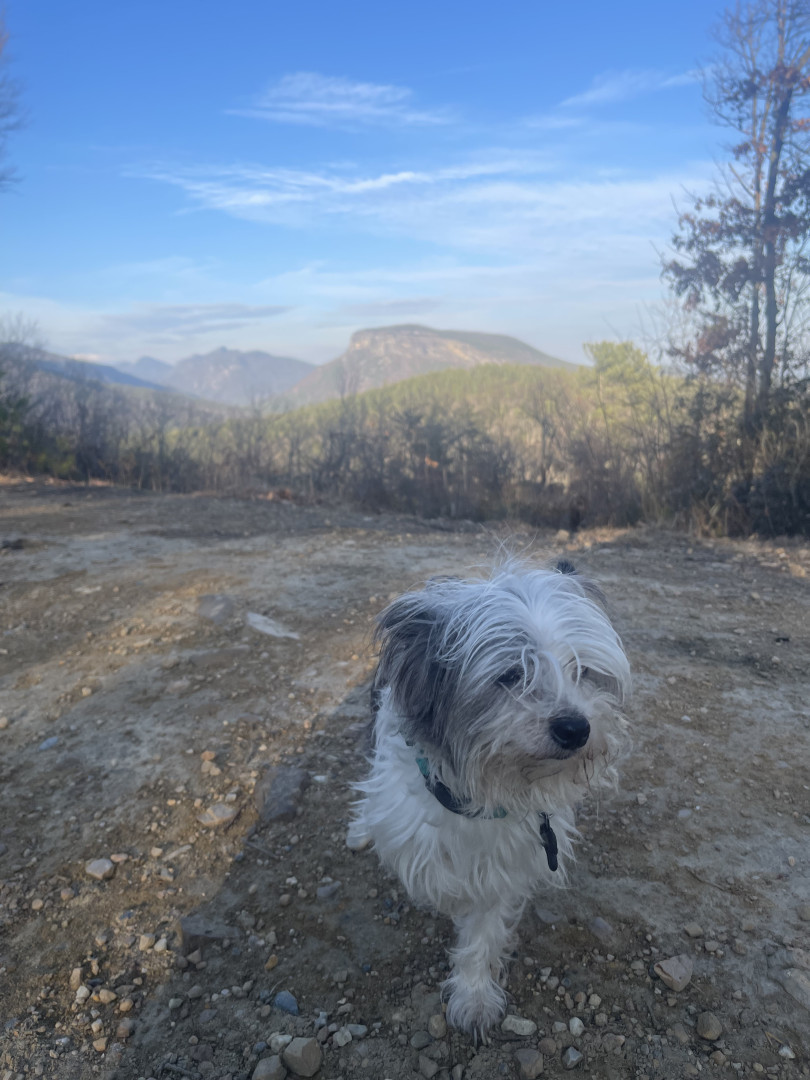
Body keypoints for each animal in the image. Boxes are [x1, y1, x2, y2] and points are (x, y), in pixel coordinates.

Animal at [349, 559, 630, 1038]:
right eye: (512, 675)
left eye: (582, 670)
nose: (577, 728)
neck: (478, 800)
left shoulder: (508, 863)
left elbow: (483, 927)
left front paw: (474, 995)